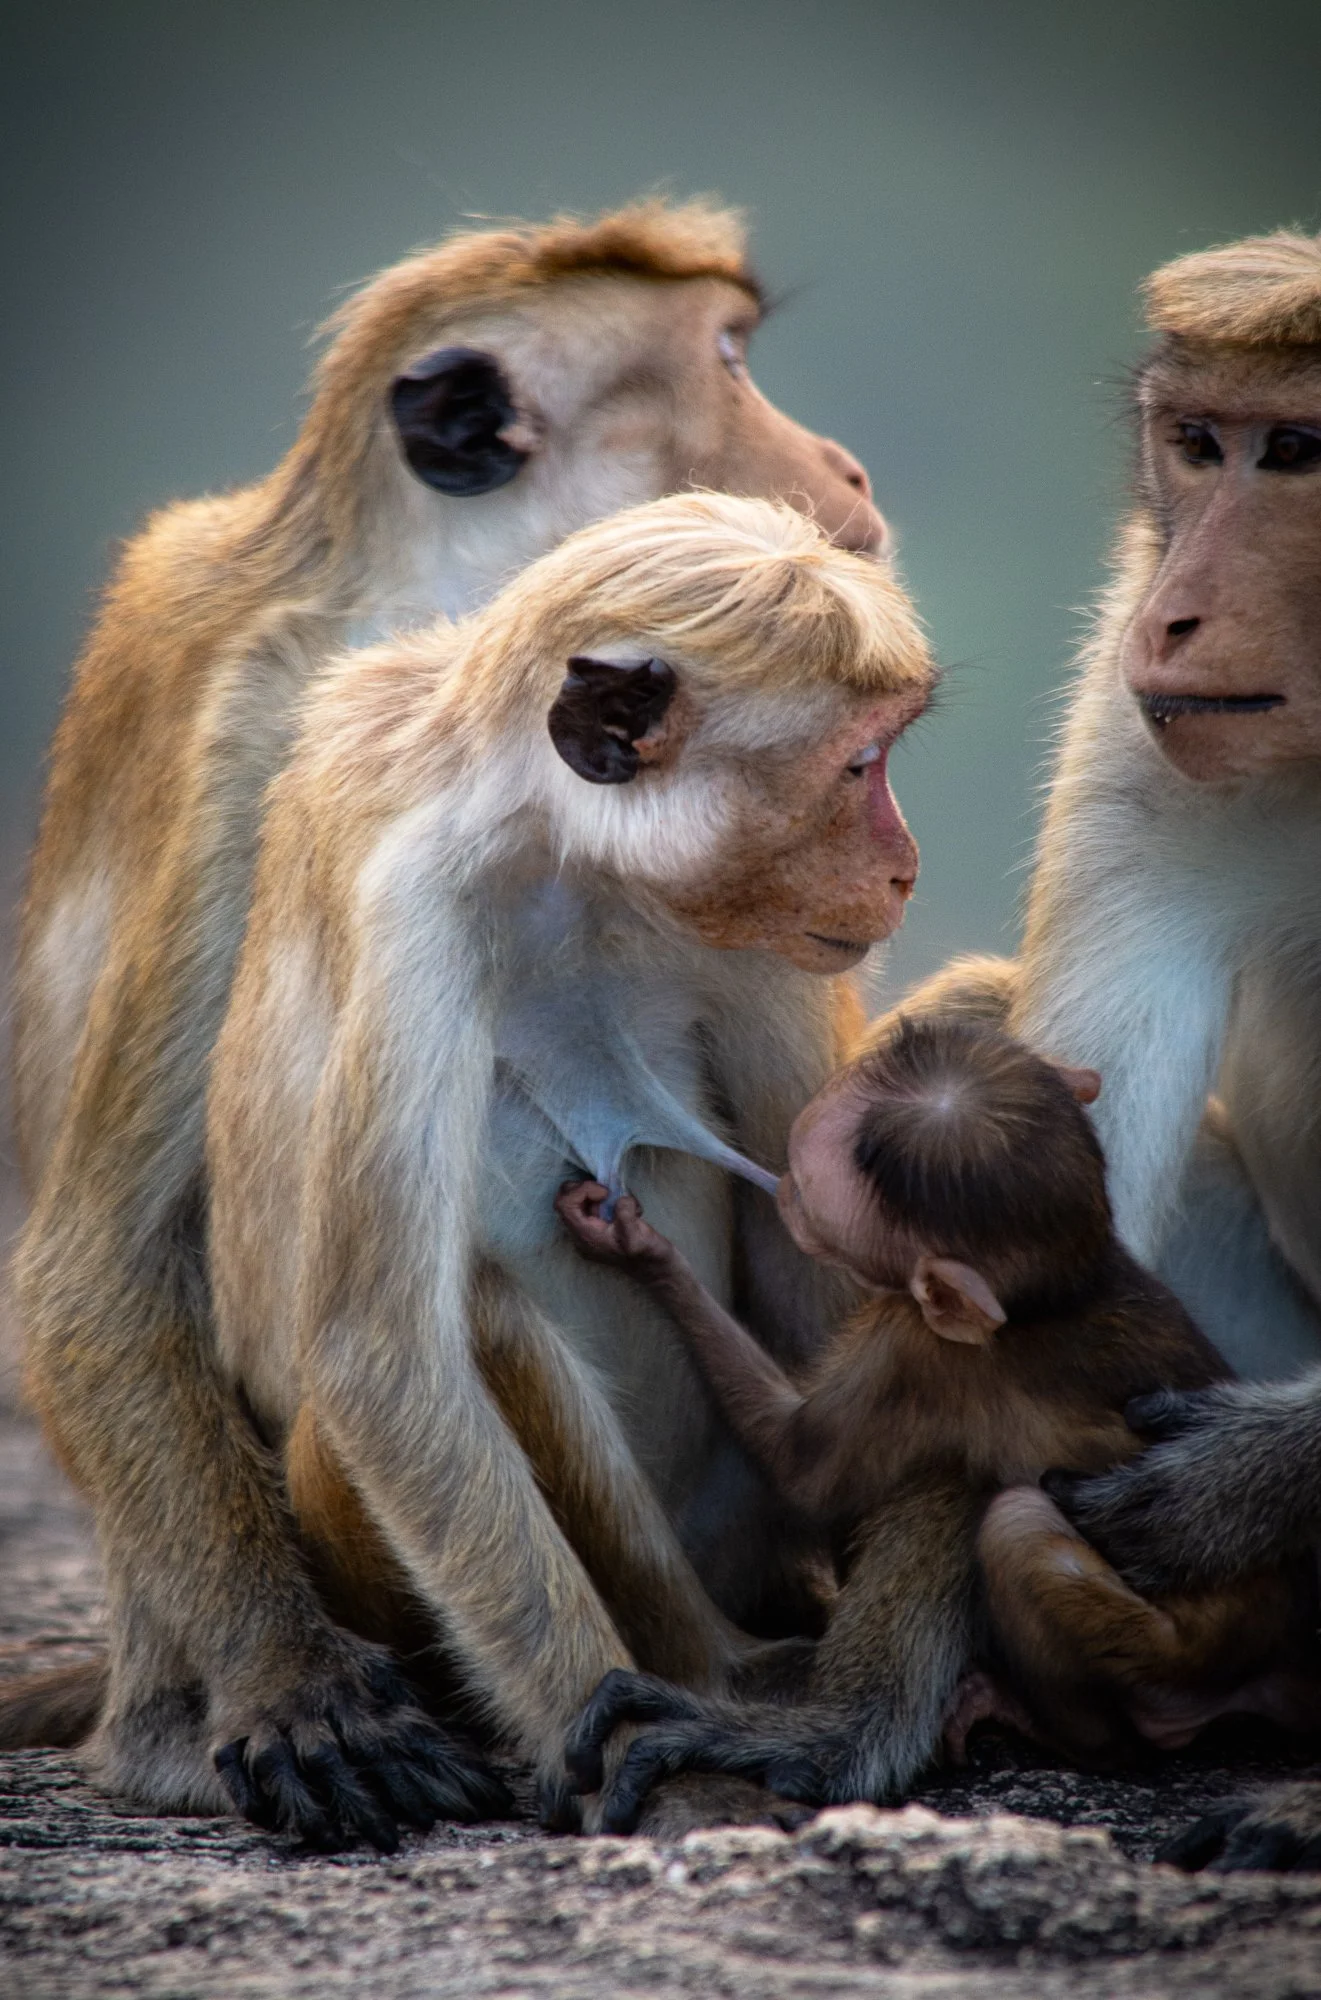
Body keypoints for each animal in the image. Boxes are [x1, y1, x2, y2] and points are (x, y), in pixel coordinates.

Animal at [194, 488, 933, 1840]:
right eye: (858, 765)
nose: (901, 864)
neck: (561, 858)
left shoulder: (759, 935)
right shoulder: (416, 916)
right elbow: (383, 1355)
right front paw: (669, 1767)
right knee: (478, 1311)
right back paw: (708, 1665)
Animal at [555, 1017, 1321, 1834]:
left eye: (809, 1191)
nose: (783, 1186)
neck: (1054, 1293)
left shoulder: (909, 1346)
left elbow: (803, 1468)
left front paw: (645, 1256)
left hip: (1172, 1652)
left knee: (1004, 1516)